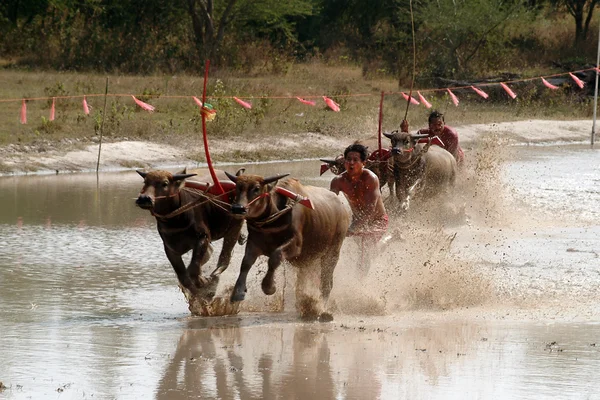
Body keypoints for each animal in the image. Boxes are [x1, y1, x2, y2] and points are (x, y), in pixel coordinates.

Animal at [136, 167, 244, 298]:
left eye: (165, 183)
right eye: (145, 182)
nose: (144, 198)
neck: (176, 221)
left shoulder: (203, 237)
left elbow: (193, 270)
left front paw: (203, 282)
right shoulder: (170, 249)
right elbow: (184, 277)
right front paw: (197, 292)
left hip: (235, 226)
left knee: (225, 258)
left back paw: (215, 276)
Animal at [223, 172, 350, 322]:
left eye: (256, 188)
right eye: (237, 187)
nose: (238, 208)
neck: (272, 220)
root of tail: (343, 209)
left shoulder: (295, 246)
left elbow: (275, 257)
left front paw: (269, 286)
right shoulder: (254, 243)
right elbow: (245, 263)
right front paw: (238, 292)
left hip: (333, 251)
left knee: (326, 282)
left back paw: (323, 311)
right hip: (309, 259)